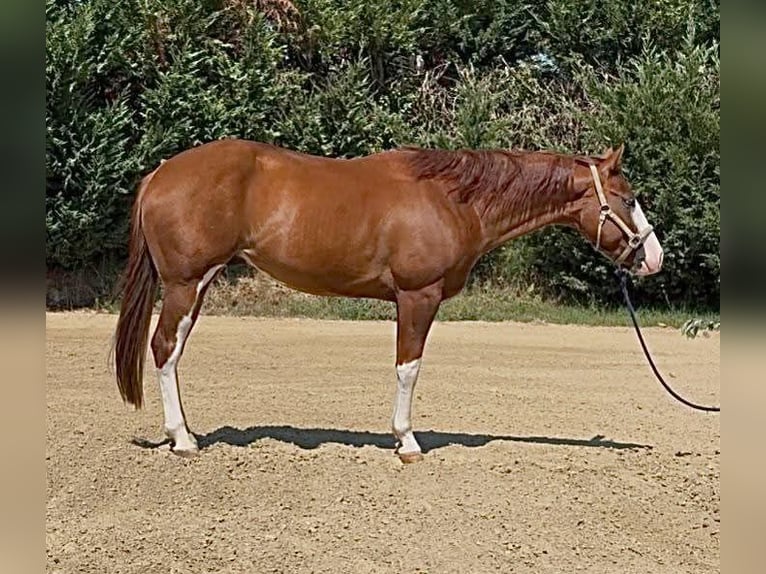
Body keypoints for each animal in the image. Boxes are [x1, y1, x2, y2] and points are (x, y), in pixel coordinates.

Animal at [113, 139, 663, 462]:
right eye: (629, 197)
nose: (655, 257)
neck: (453, 199)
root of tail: (159, 174)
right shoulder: (418, 296)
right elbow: (408, 368)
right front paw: (406, 442)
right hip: (186, 284)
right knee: (165, 349)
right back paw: (183, 439)